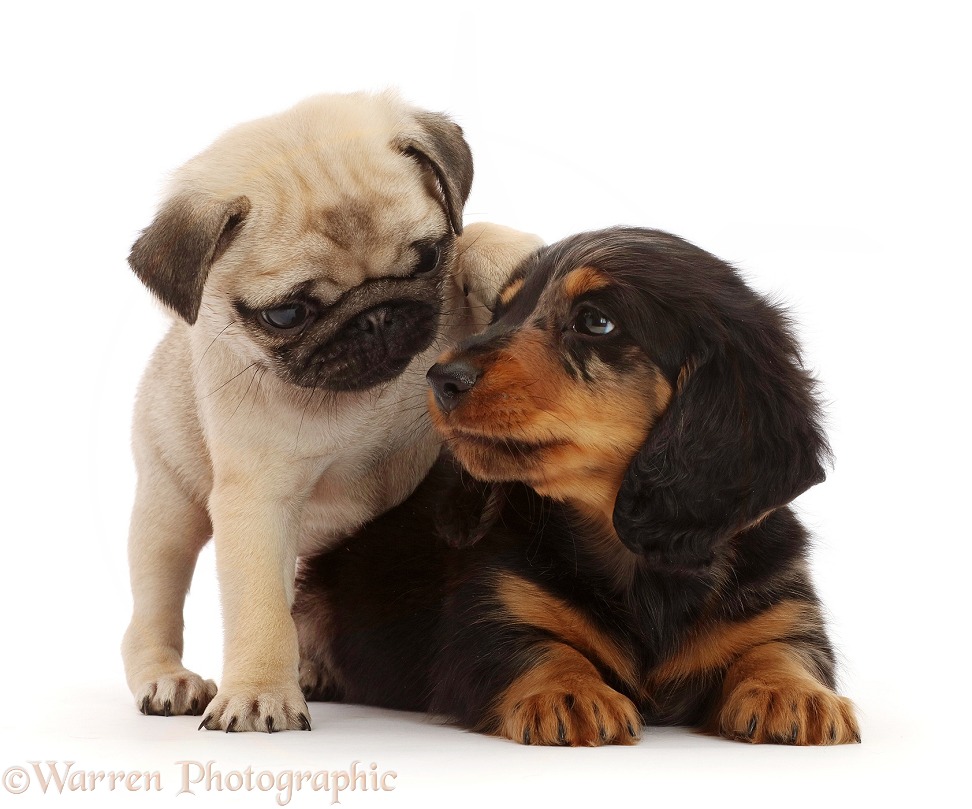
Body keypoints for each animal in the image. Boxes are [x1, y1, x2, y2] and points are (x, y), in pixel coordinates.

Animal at [121, 93, 544, 732]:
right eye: (288, 314)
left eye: (427, 259)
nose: (375, 317)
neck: (365, 399)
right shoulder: (258, 502)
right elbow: (261, 611)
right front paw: (258, 694)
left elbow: (477, 237)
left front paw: (509, 258)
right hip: (166, 513)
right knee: (152, 610)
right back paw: (168, 680)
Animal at [296, 227, 860, 744]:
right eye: (501, 312)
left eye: (595, 321)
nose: (440, 378)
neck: (637, 556)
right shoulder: (490, 614)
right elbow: (537, 648)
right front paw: (569, 692)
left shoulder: (781, 607)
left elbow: (781, 648)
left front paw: (794, 693)